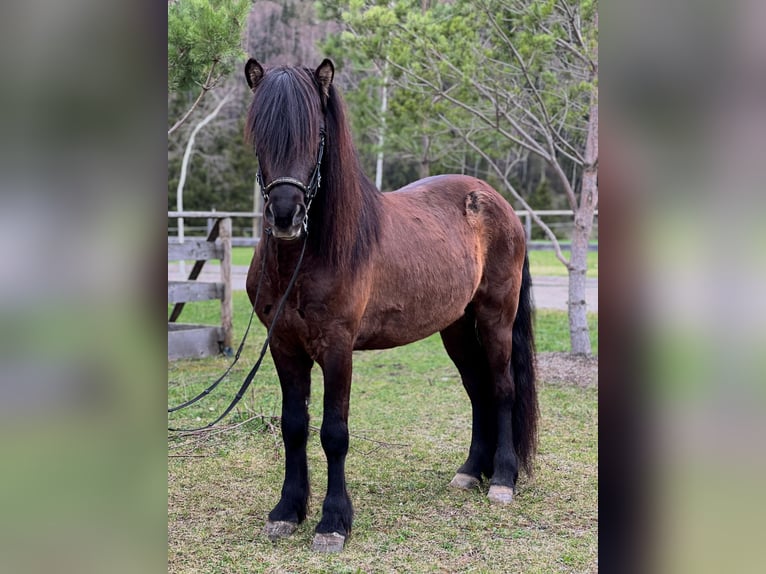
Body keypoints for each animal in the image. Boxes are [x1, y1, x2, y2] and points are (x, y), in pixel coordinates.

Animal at [243, 57, 538, 553]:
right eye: (259, 132)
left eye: (317, 134)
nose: (286, 215)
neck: (309, 257)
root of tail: (498, 201)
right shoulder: (284, 346)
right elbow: (294, 426)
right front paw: (287, 512)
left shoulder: (338, 348)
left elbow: (334, 432)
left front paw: (333, 522)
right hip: (456, 327)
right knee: (477, 388)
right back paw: (468, 473)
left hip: (496, 317)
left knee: (500, 389)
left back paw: (501, 480)